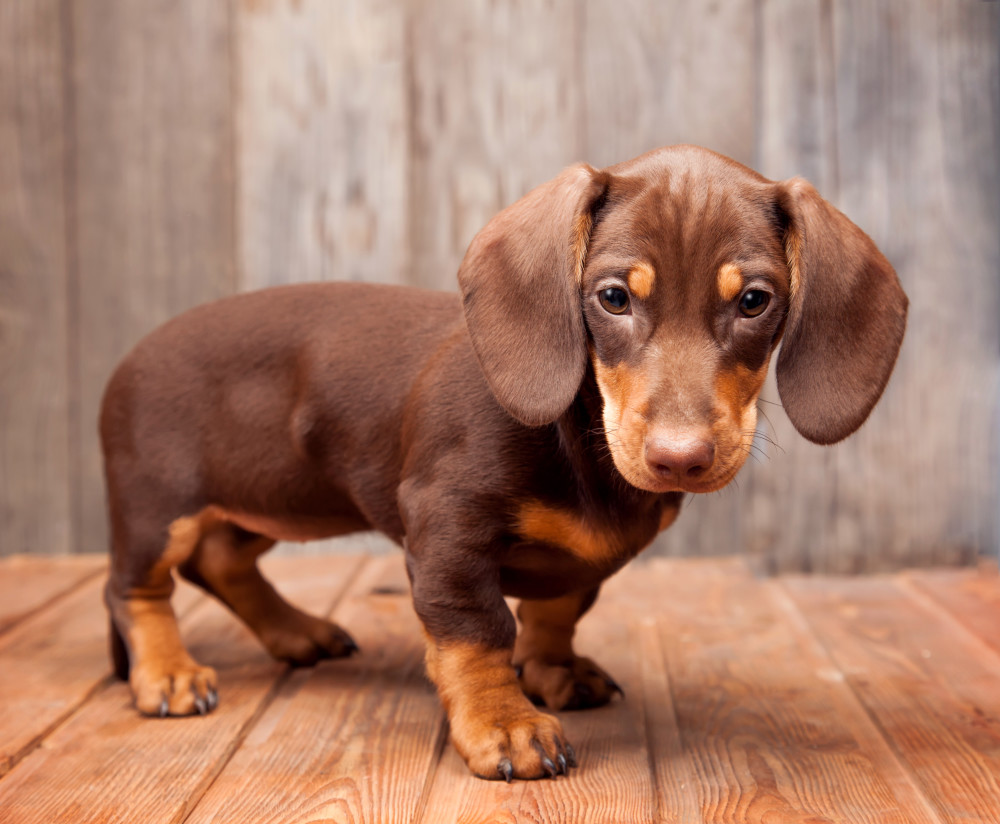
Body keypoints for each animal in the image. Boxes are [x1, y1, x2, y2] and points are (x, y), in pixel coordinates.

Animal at [99, 145, 908, 784]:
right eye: (613, 297)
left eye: (755, 301)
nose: (679, 459)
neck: (581, 437)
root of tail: (128, 360)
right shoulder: (447, 532)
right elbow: (478, 632)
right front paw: (505, 724)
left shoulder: (579, 562)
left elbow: (557, 610)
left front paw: (553, 672)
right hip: (157, 507)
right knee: (137, 588)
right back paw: (168, 673)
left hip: (272, 503)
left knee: (220, 560)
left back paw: (296, 631)